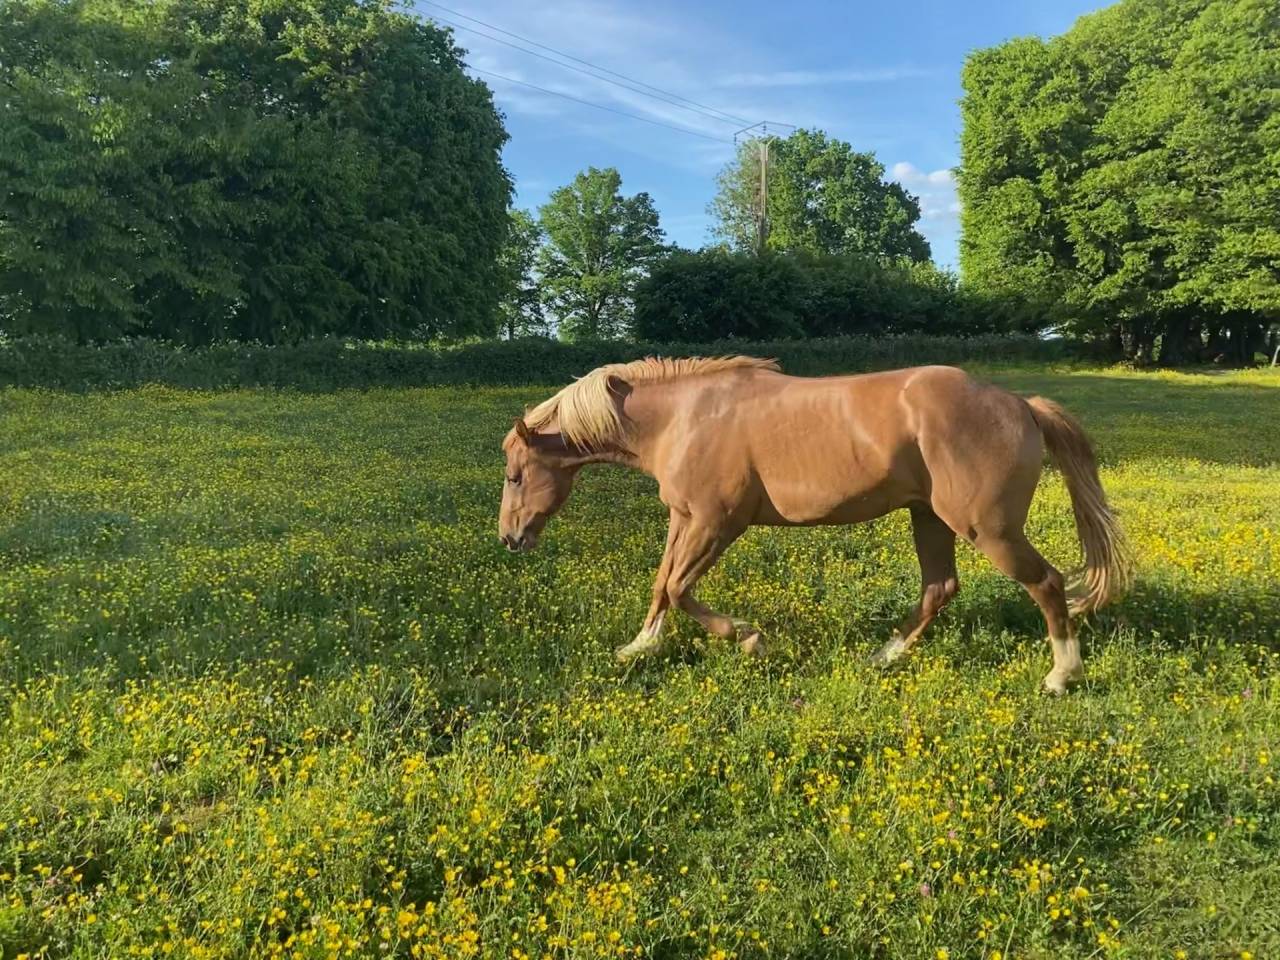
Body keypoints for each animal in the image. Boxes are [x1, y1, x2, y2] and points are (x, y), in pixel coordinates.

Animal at [498, 357, 1132, 693]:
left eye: (514, 474)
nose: (510, 538)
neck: (683, 418)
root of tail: (1022, 405)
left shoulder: (717, 522)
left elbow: (679, 588)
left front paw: (750, 638)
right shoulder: (684, 518)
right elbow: (661, 586)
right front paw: (639, 647)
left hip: (987, 527)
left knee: (1046, 583)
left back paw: (1061, 675)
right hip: (930, 517)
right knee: (939, 588)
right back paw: (883, 656)